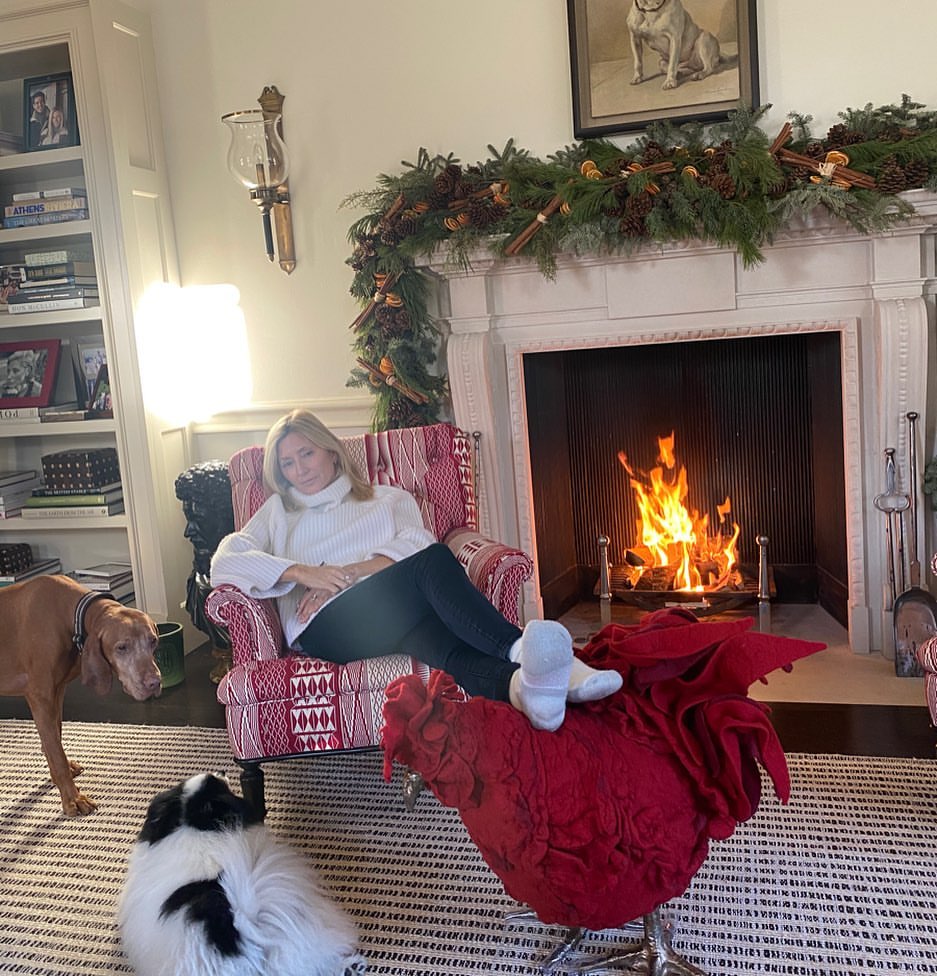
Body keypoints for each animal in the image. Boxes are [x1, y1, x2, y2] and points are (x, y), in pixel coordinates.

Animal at [0, 573, 161, 815]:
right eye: (121, 647)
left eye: (153, 641)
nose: (154, 683)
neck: (70, 613)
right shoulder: (40, 695)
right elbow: (55, 751)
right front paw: (72, 799)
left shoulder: (58, 691)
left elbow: (54, 739)